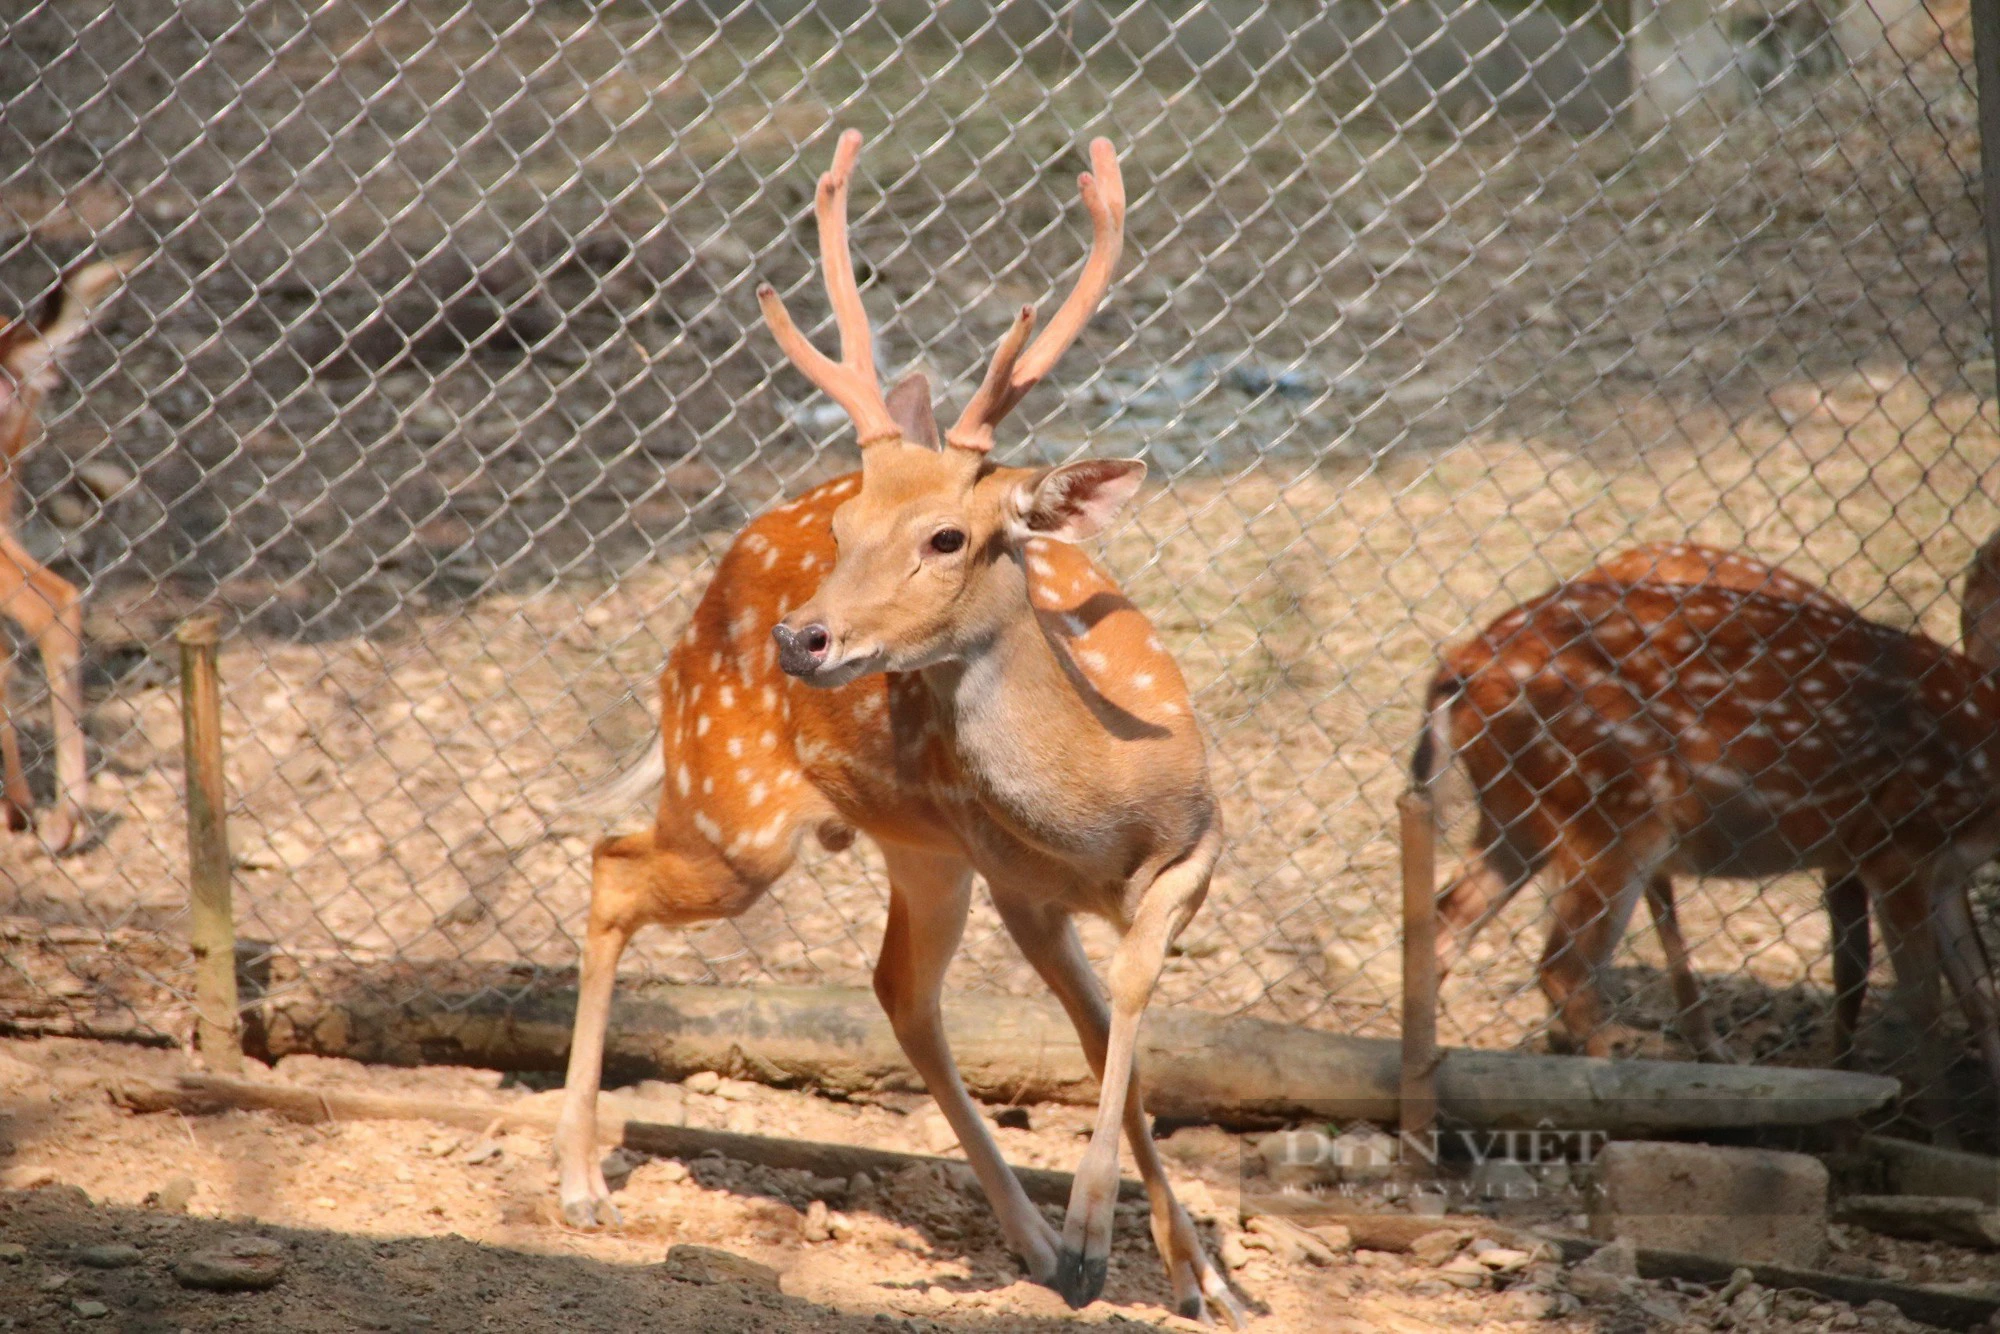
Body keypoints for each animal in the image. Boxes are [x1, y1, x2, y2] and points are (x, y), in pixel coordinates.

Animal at [556, 136, 1240, 1328]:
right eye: (844, 524)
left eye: (947, 536)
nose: (802, 637)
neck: (1106, 802)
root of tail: (698, 615)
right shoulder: (1019, 883)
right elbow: (1102, 1025)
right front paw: (1102, 1246)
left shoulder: (1195, 842)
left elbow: (1122, 1014)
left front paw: (1192, 1270)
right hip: (737, 809)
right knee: (613, 866)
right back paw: (582, 1181)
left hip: (915, 847)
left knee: (899, 993)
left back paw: (1027, 1235)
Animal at [1416, 544, 2000, 1128]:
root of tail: (1461, 666)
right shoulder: (1895, 846)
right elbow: (1921, 1002)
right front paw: (1930, 1125)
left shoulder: (1943, 869)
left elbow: (1980, 996)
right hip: (1615, 811)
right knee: (1564, 967)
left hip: (1520, 817)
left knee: (1446, 923)